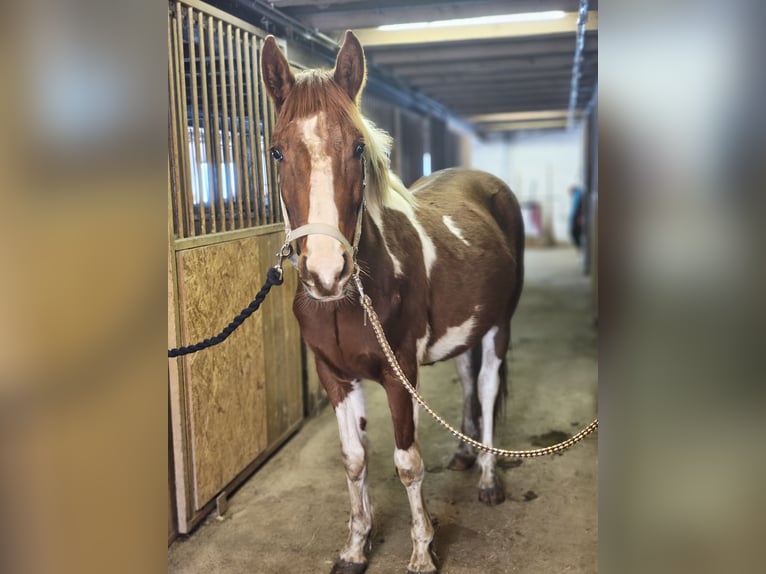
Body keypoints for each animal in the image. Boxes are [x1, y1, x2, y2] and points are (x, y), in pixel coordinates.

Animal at [261, 31, 524, 574]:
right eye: (276, 151)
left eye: (359, 146)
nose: (326, 272)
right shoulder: (335, 376)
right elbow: (354, 459)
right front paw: (355, 546)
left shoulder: (400, 373)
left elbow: (407, 463)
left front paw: (423, 551)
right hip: (464, 328)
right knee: (468, 378)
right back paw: (465, 454)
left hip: (498, 326)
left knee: (488, 388)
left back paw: (488, 477)